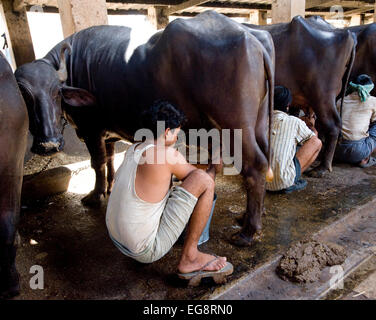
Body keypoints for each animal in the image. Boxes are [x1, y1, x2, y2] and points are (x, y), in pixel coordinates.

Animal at [15, 10, 274, 245]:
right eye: (25, 96)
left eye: (56, 92)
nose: (49, 144)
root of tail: (251, 36)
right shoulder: (108, 134)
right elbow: (110, 160)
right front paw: (109, 187)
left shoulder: (92, 130)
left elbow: (97, 163)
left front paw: (94, 196)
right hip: (258, 122)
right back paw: (249, 216)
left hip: (235, 125)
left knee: (255, 165)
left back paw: (248, 232)